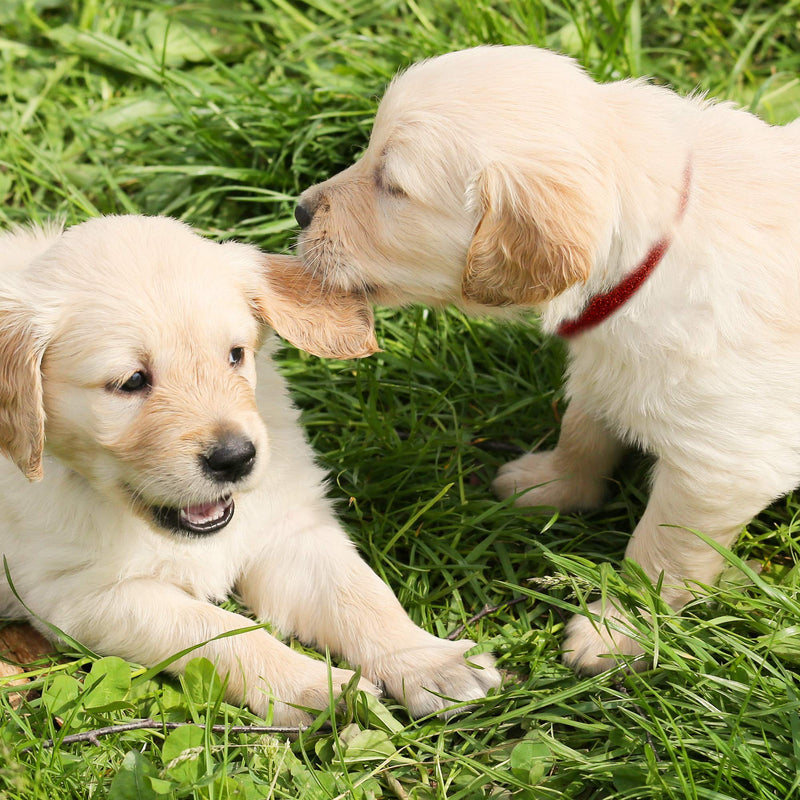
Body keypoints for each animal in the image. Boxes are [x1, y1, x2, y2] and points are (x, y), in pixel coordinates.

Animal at [0, 214, 500, 724]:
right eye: (131, 381)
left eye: (235, 355)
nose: (236, 458)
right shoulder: (82, 595)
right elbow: (220, 631)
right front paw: (311, 686)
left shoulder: (290, 529)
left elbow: (362, 595)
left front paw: (429, 661)